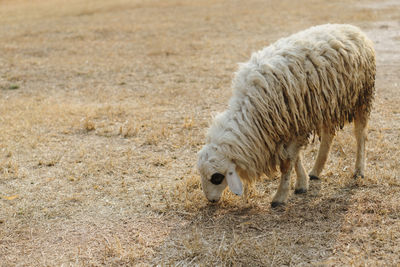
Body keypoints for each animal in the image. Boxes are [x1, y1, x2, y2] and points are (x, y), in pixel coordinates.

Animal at [197, 23, 376, 207]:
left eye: (216, 178)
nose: (211, 200)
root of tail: (352, 28)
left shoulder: (295, 124)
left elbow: (287, 162)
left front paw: (280, 196)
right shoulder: (290, 126)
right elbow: (295, 158)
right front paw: (302, 183)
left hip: (362, 95)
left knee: (360, 134)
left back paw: (359, 170)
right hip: (326, 104)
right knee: (328, 135)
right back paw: (316, 170)